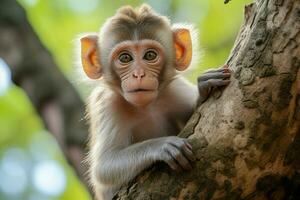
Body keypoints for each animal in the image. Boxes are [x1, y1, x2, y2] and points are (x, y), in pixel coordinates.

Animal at [78, 3, 231, 199]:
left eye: (150, 55)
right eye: (125, 58)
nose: (139, 74)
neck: (146, 107)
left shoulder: (175, 90)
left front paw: (203, 89)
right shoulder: (107, 104)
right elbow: (104, 168)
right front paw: (161, 146)